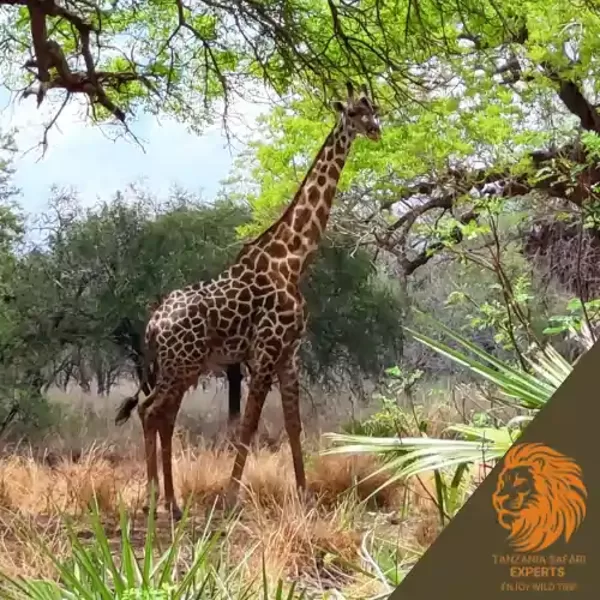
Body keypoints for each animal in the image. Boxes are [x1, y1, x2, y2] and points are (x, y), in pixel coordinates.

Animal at [115, 82, 382, 516]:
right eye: (355, 113)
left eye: (373, 108)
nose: (376, 129)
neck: (293, 259)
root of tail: (153, 325)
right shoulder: (265, 350)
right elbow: (249, 424)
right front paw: (231, 497)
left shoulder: (290, 353)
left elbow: (293, 423)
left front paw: (305, 496)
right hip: (180, 365)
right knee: (151, 411)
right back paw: (159, 501)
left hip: (179, 367)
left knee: (158, 414)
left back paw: (168, 500)